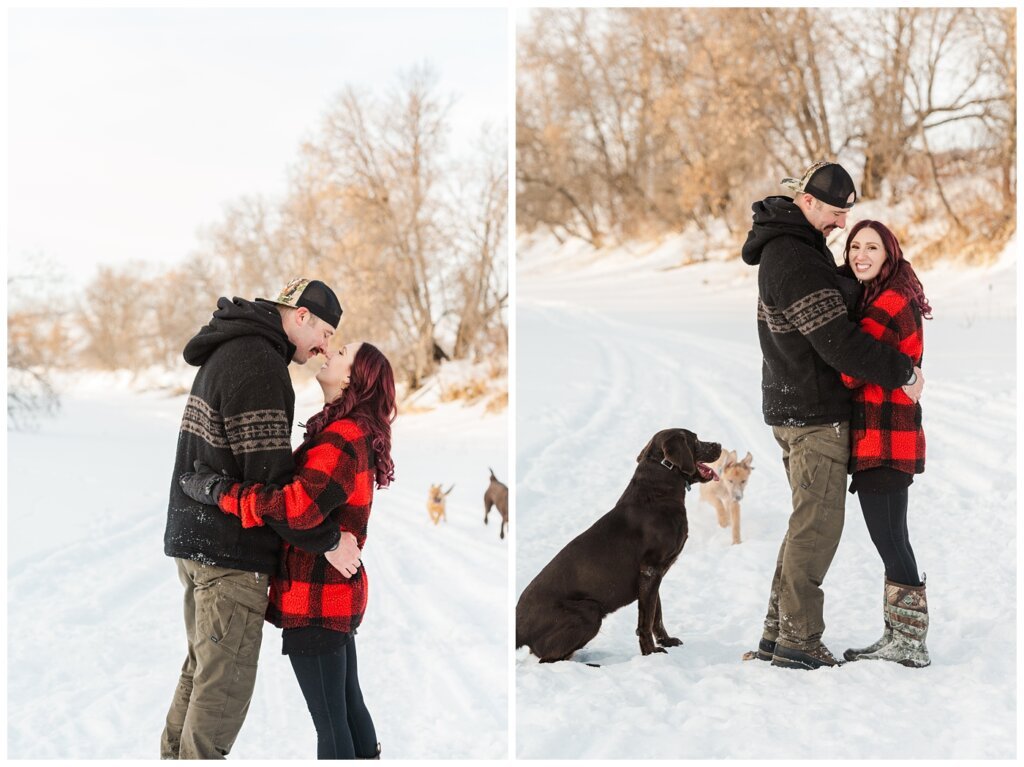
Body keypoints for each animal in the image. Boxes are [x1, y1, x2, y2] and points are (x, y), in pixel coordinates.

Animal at [512, 428, 720, 659]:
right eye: (696, 439)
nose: (719, 445)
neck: (658, 493)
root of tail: (519, 626)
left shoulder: (655, 575)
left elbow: (656, 615)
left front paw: (666, 641)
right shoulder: (650, 570)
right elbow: (645, 620)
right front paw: (650, 653)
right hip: (590, 610)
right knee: (549, 658)